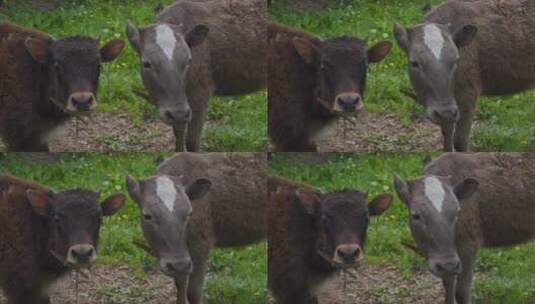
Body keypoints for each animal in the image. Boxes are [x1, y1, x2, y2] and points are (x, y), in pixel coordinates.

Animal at [394, 153, 535, 304]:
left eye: (457, 211)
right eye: (416, 215)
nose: (447, 265)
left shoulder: (469, 244)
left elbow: (462, 291)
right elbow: (447, 282)